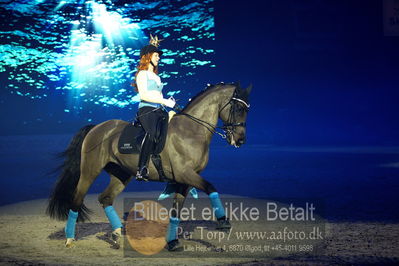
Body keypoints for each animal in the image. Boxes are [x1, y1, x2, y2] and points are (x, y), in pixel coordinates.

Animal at [47, 82, 252, 250]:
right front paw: (223, 221)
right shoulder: (185, 174)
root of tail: (96, 127)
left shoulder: (184, 180)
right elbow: (211, 187)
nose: (240, 140)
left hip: (121, 174)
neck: (191, 131)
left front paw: (172, 242)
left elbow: (176, 211)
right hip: (90, 171)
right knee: (77, 199)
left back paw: (116, 234)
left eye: (247, 109)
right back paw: (70, 239)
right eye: (238, 107)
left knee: (105, 198)